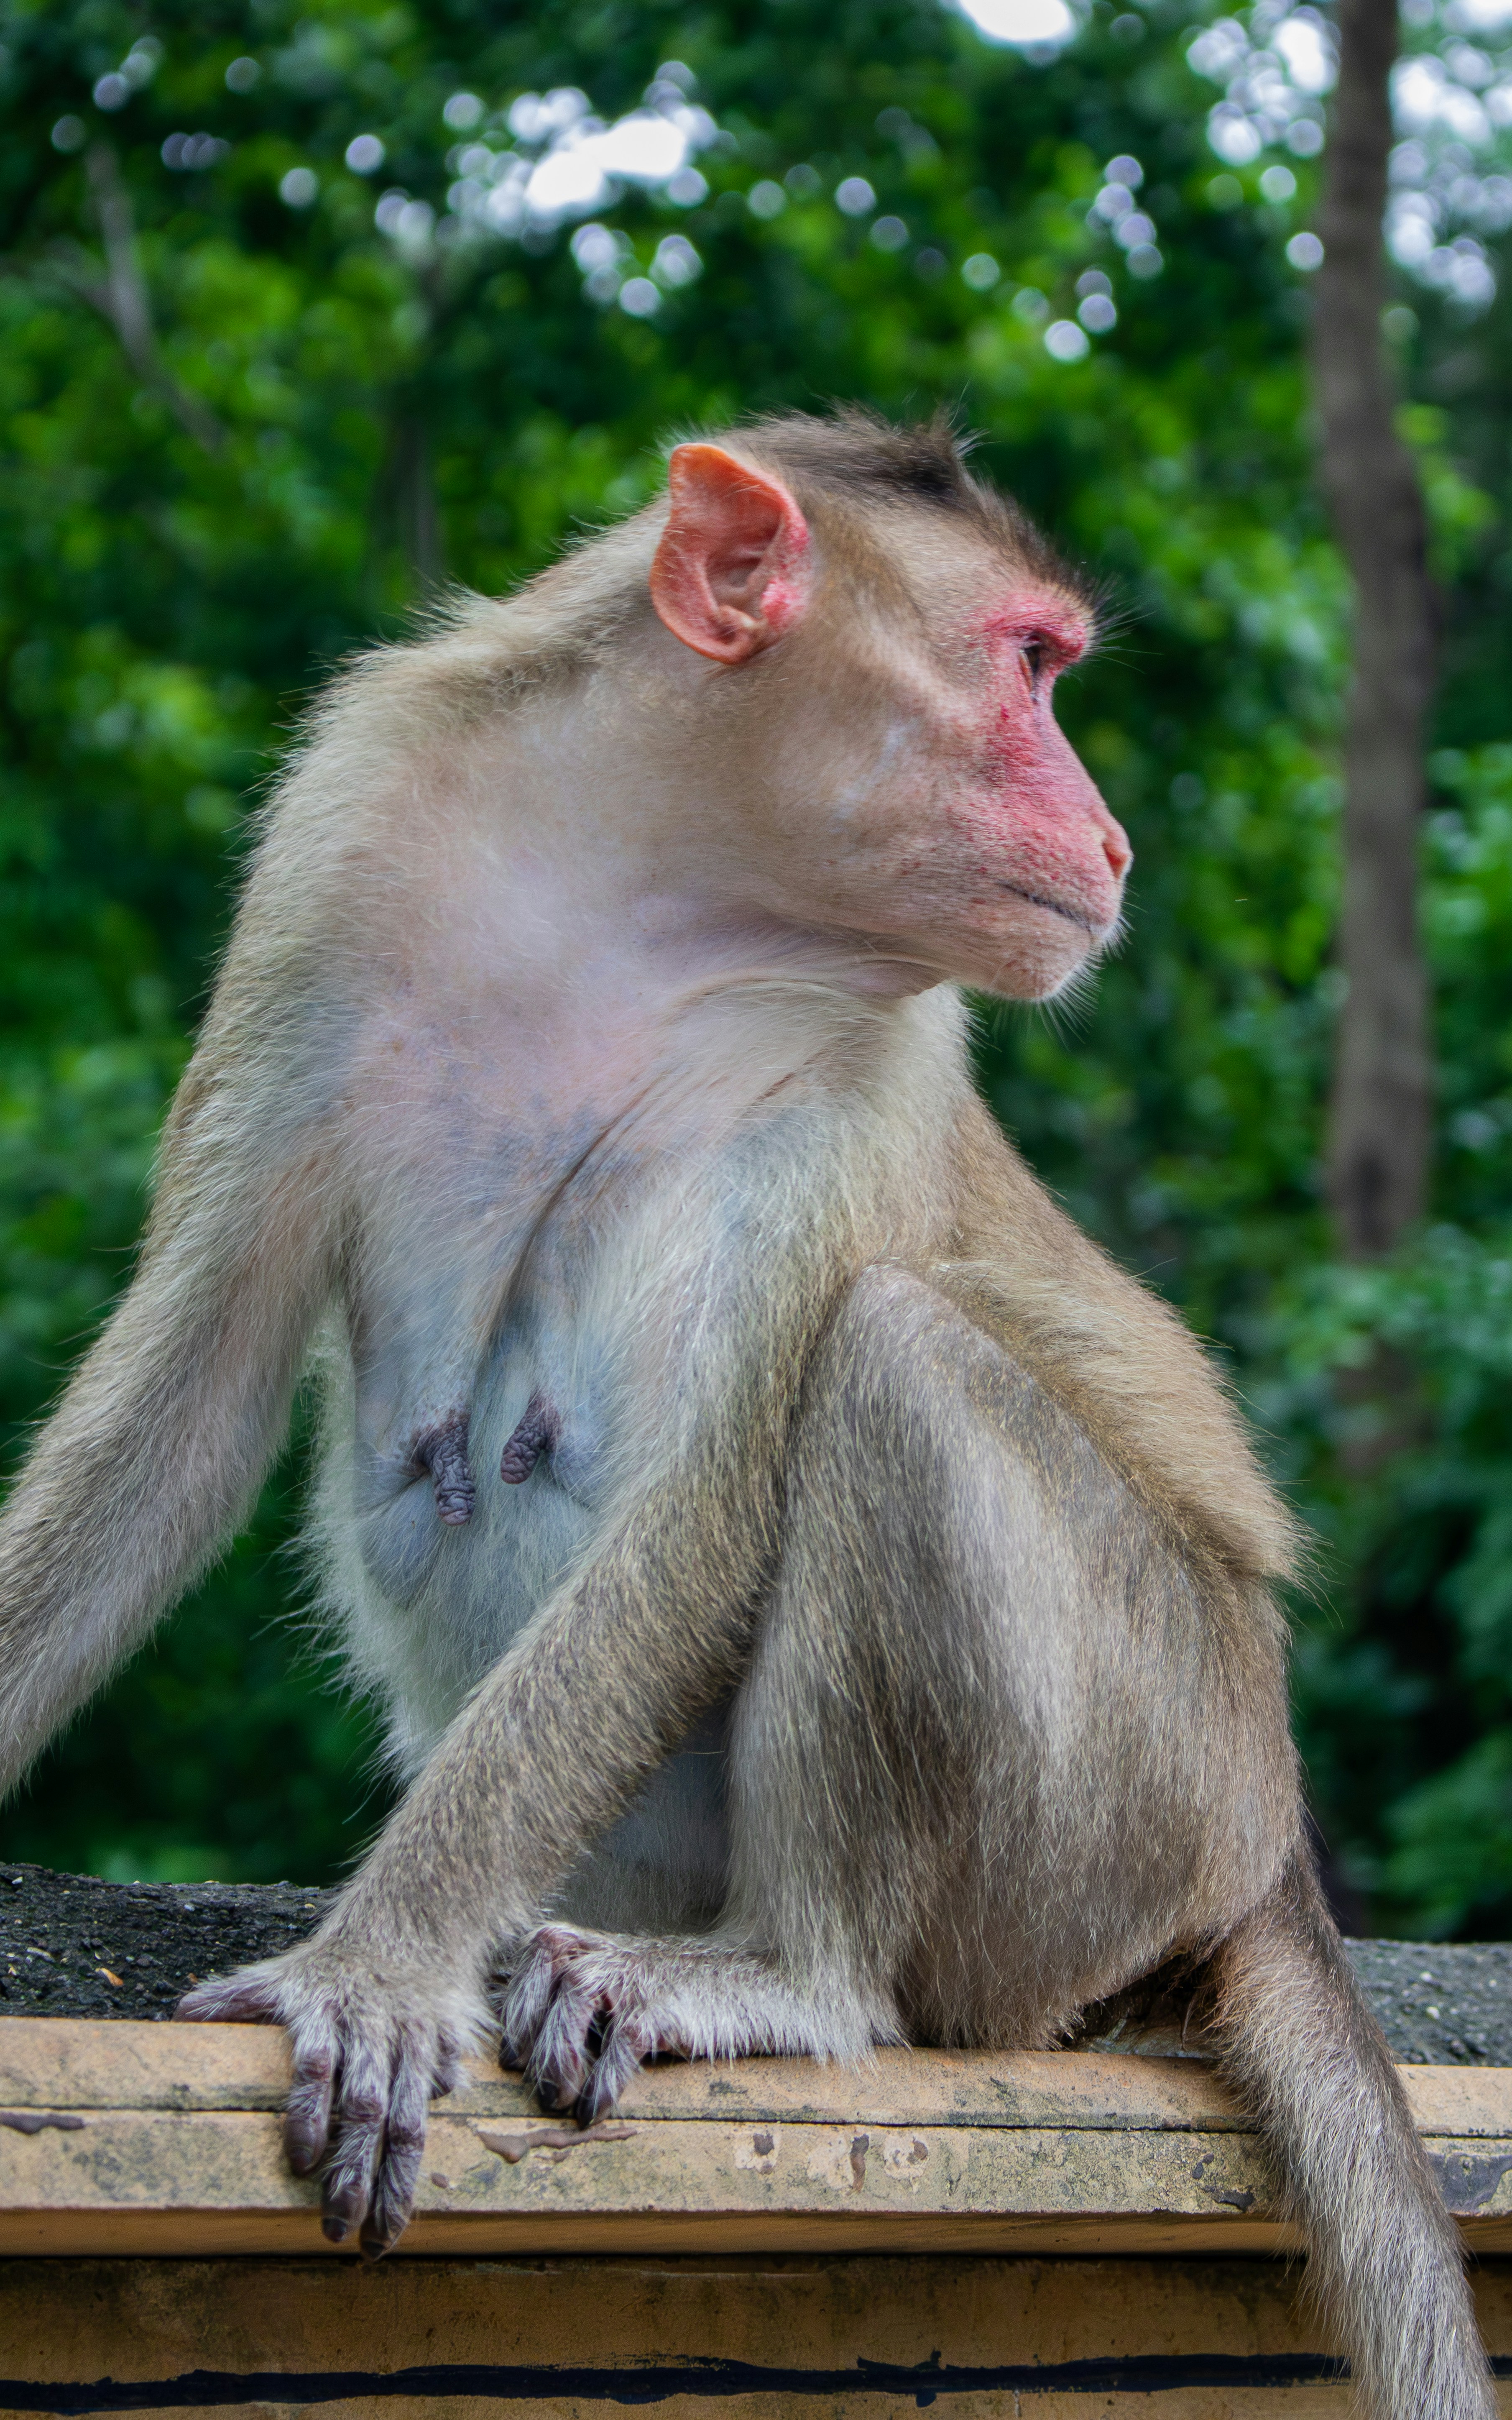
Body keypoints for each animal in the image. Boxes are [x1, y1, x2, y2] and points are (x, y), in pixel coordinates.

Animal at [0, 411, 1491, 2418]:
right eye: (1029, 665)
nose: (1109, 834)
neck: (637, 882)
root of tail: (1264, 1854)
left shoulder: (880, 1047)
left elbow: (706, 1510)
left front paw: (379, 1969)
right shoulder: (344, 838)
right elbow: (185, 1406)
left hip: (1148, 1793)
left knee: (894, 1363)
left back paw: (794, 1975)